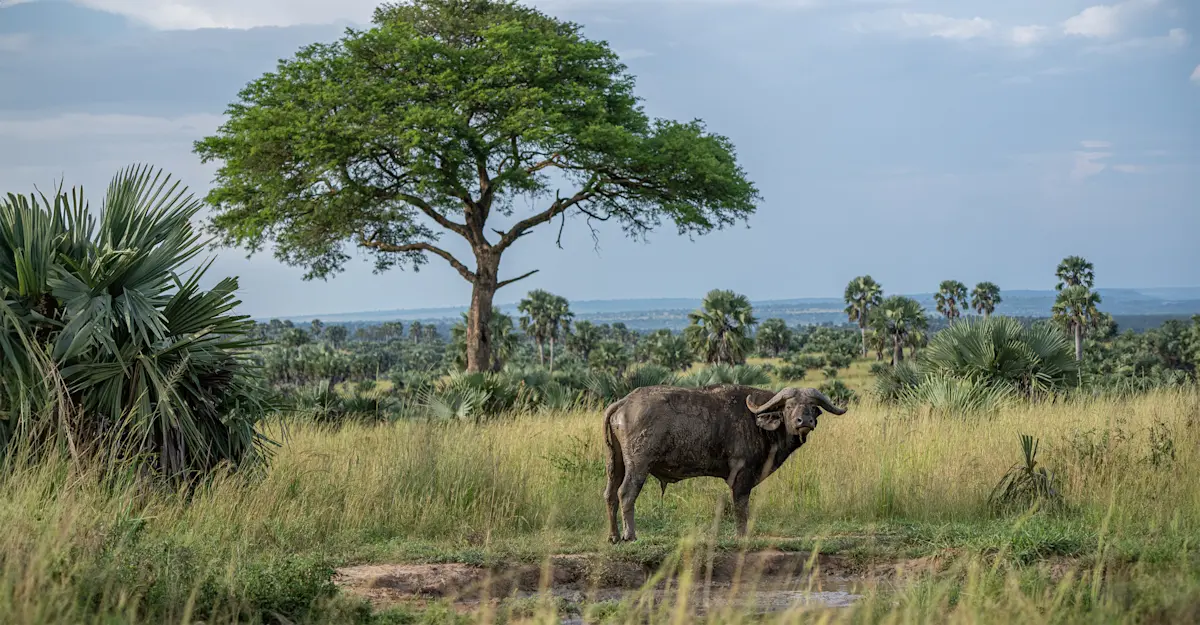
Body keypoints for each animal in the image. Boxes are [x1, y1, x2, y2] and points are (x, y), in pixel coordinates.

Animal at [602, 385, 847, 542]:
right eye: (788, 406)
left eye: (811, 406)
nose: (804, 421)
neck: (757, 423)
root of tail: (625, 402)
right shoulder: (742, 475)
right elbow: (741, 507)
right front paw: (742, 536)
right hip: (638, 465)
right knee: (626, 493)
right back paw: (629, 535)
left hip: (616, 463)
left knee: (610, 494)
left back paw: (613, 536)